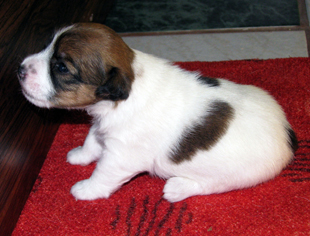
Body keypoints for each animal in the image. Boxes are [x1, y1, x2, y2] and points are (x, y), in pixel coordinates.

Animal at [17, 23, 298, 202]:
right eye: (47, 47)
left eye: (61, 67)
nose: (20, 69)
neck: (130, 83)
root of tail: (288, 135)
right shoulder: (103, 127)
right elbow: (91, 140)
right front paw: (80, 155)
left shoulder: (122, 156)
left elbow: (102, 173)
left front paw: (86, 189)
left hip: (232, 174)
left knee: (211, 185)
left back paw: (177, 187)